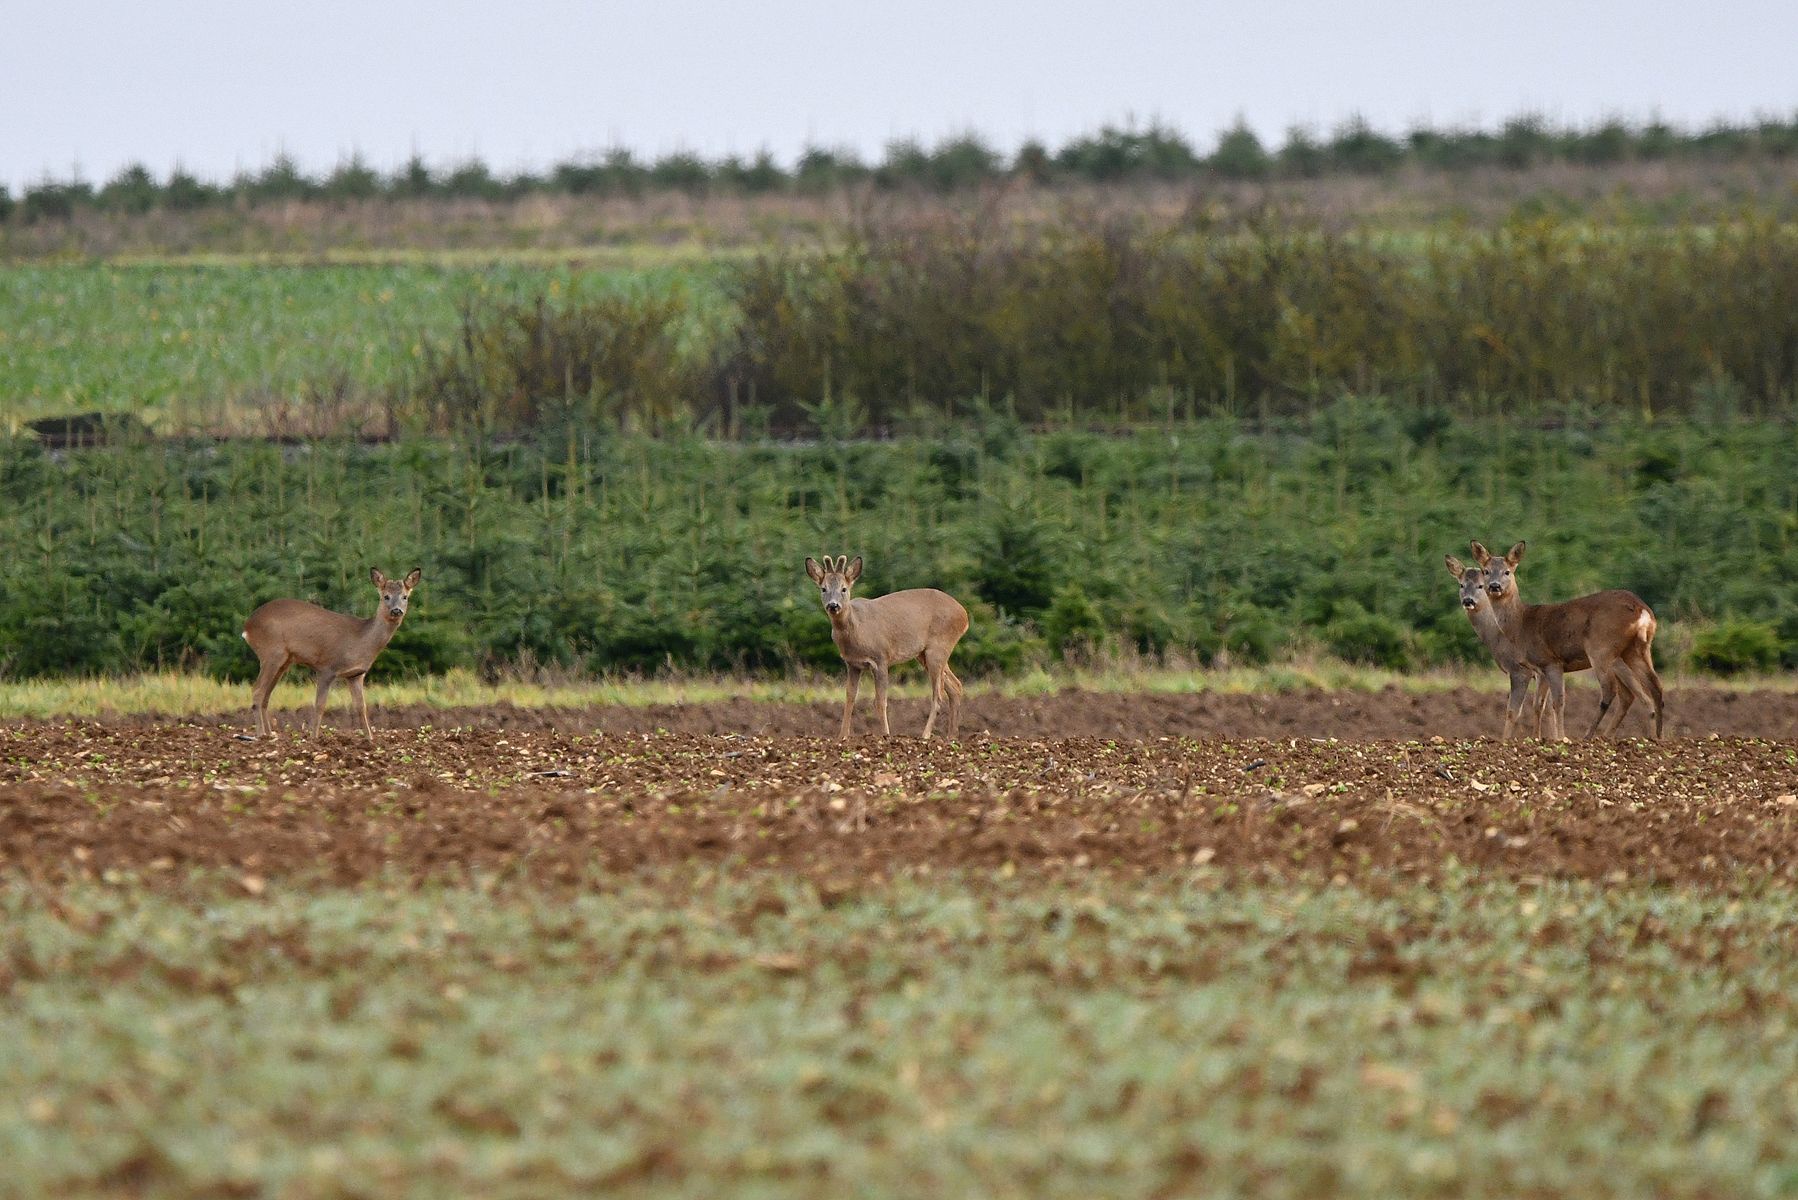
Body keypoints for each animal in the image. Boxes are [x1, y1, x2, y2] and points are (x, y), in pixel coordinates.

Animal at [242, 564, 420, 741]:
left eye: (405, 597)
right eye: (386, 596)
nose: (396, 611)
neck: (361, 640)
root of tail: (247, 628)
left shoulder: (356, 675)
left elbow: (361, 707)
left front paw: (369, 739)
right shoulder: (327, 667)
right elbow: (320, 705)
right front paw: (314, 738)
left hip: (284, 661)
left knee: (266, 695)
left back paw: (270, 734)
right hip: (271, 652)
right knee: (257, 691)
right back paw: (260, 735)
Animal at [805, 557, 970, 741]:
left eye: (844, 589)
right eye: (824, 588)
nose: (833, 605)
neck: (857, 629)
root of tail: (964, 615)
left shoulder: (881, 658)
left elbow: (880, 700)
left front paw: (885, 735)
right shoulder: (852, 664)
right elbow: (849, 698)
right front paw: (842, 737)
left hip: (939, 646)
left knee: (938, 694)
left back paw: (926, 735)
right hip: (924, 653)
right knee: (955, 686)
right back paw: (951, 737)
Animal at [1467, 543, 1661, 741]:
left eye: (1507, 571)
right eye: (1486, 571)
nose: (1494, 586)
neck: (1521, 624)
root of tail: (1642, 610)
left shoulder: (1551, 662)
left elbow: (1558, 702)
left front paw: (1560, 738)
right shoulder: (1540, 668)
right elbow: (1539, 704)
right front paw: (1538, 738)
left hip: (1601, 648)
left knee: (1610, 689)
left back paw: (1589, 736)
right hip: (1636, 649)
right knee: (1653, 685)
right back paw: (1654, 737)